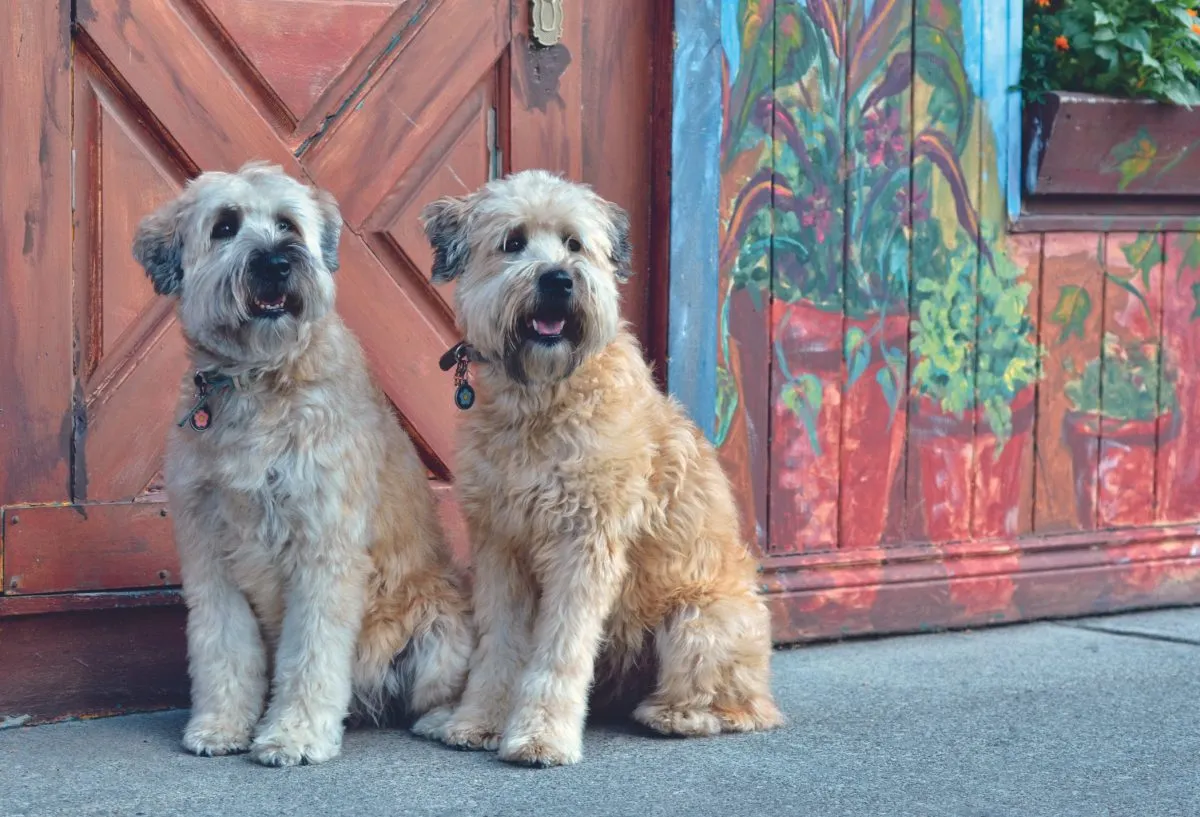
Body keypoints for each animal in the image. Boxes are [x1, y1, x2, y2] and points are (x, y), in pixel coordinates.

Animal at [138, 164, 475, 763]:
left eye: (287, 224)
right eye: (225, 226)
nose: (276, 261)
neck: (259, 379)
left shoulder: (324, 547)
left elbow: (312, 653)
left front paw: (293, 734)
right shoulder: (208, 552)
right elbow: (223, 647)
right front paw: (221, 725)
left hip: (439, 625)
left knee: (437, 691)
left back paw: (443, 721)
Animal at [417, 170, 782, 763]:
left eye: (574, 243)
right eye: (512, 242)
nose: (558, 280)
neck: (541, 402)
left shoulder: (584, 545)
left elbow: (559, 652)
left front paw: (540, 735)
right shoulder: (500, 546)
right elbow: (499, 647)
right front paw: (479, 720)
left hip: (699, 622)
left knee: (741, 709)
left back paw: (675, 715)